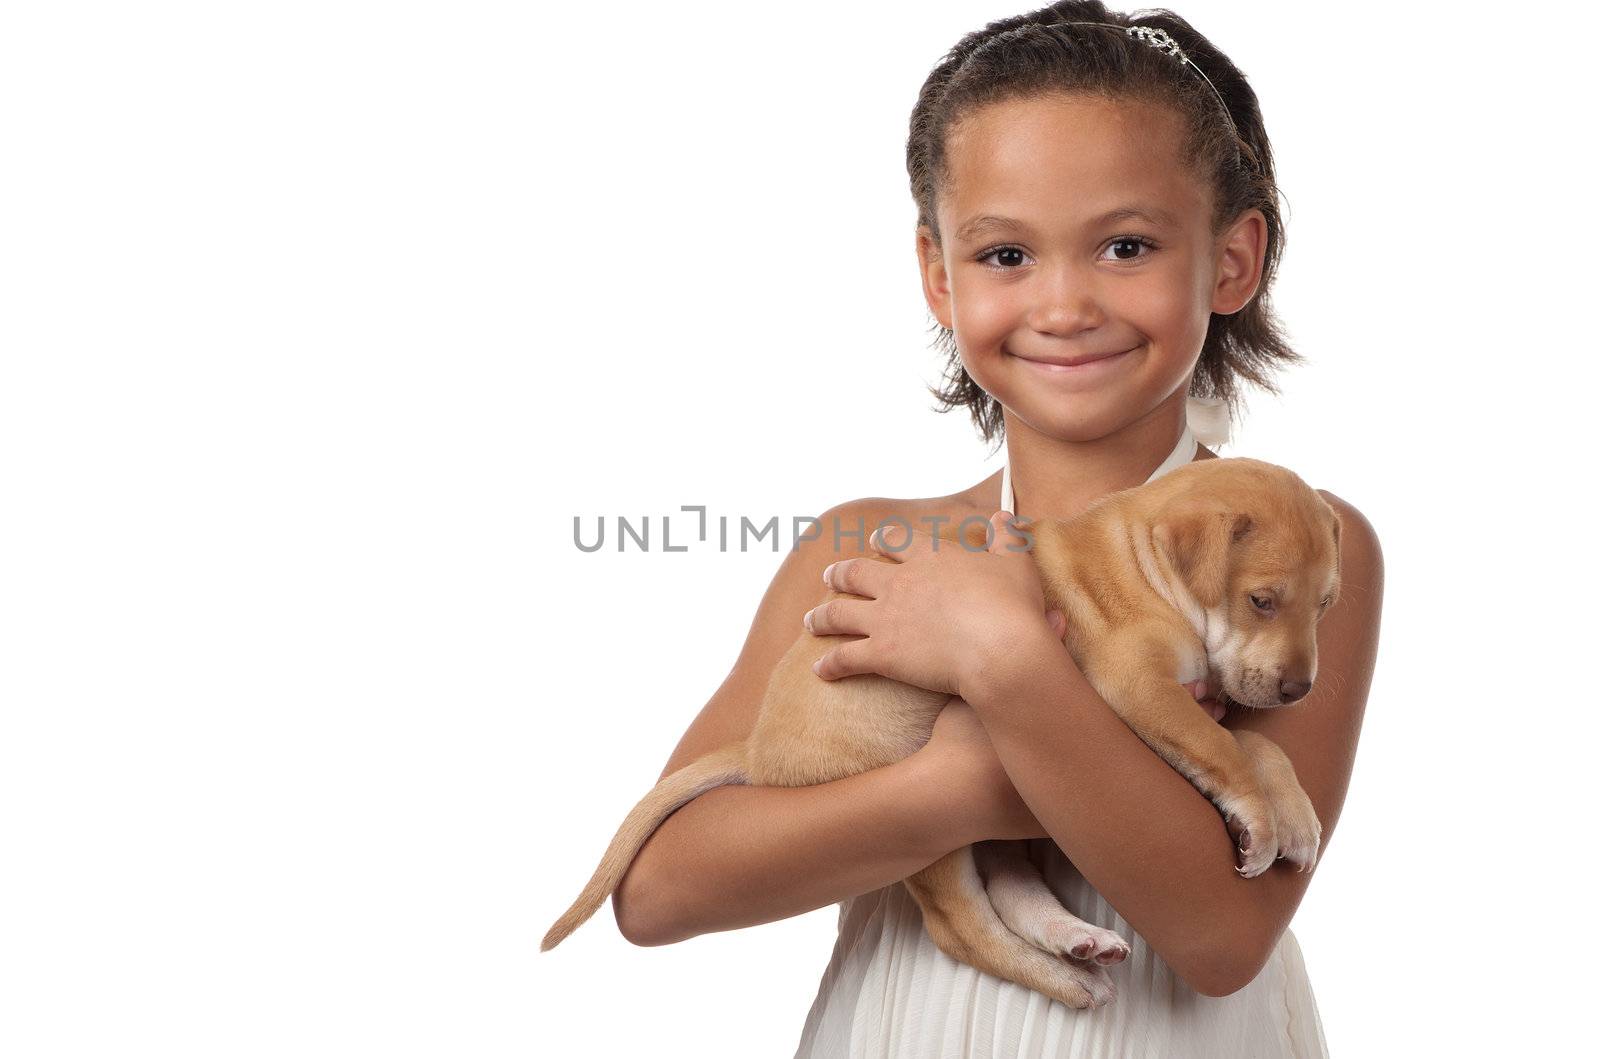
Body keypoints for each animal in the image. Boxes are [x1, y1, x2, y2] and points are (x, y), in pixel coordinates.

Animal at [544, 460, 1344, 1017]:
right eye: (1261, 600)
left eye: (1328, 605)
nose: (1301, 689)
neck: (1145, 561)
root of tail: (755, 753)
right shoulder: (1134, 684)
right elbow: (1224, 749)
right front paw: (1259, 822)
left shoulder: (1200, 697)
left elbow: (1259, 746)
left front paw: (1297, 818)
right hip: (916, 810)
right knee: (960, 924)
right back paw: (1065, 978)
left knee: (1010, 885)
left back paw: (1074, 941)